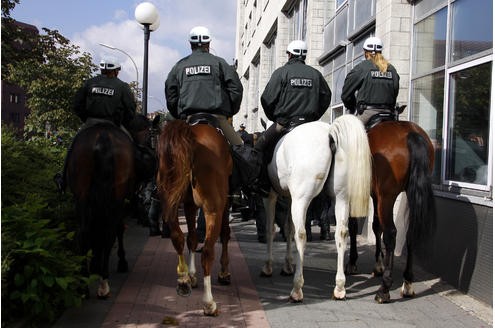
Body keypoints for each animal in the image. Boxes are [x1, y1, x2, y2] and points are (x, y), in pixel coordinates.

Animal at [66, 115, 155, 300]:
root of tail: (102, 138)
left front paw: (95, 263)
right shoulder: (124, 199)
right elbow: (119, 229)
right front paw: (121, 260)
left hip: (82, 198)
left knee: (84, 233)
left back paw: (85, 285)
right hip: (114, 199)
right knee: (108, 232)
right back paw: (104, 282)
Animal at [157, 118, 234, 316]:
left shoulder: (190, 205)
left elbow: (191, 238)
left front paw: (191, 275)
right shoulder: (225, 204)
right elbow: (225, 234)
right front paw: (224, 272)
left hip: (170, 201)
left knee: (177, 237)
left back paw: (183, 279)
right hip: (213, 209)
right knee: (207, 252)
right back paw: (209, 302)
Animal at [260, 114, 372, 302]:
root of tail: (329, 134)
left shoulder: (270, 196)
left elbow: (271, 229)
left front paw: (268, 266)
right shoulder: (289, 198)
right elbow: (288, 228)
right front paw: (287, 265)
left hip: (301, 199)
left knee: (301, 234)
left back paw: (297, 289)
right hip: (341, 198)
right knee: (341, 233)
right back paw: (339, 287)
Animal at [344, 120, 438, 302]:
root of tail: (411, 133)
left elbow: (353, 226)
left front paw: (352, 262)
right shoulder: (375, 196)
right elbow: (375, 226)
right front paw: (378, 265)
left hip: (388, 196)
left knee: (391, 234)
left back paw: (384, 289)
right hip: (409, 194)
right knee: (410, 233)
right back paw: (407, 282)